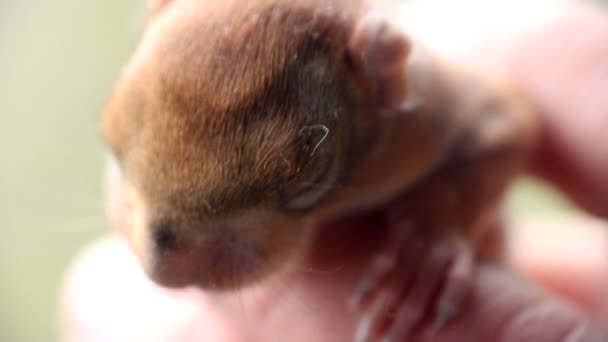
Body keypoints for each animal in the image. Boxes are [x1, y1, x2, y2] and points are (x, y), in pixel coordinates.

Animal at [105, 0, 536, 340]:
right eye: (112, 150)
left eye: (309, 185)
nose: (164, 274)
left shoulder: (424, 121)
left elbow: (508, 128)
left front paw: (423, 254)